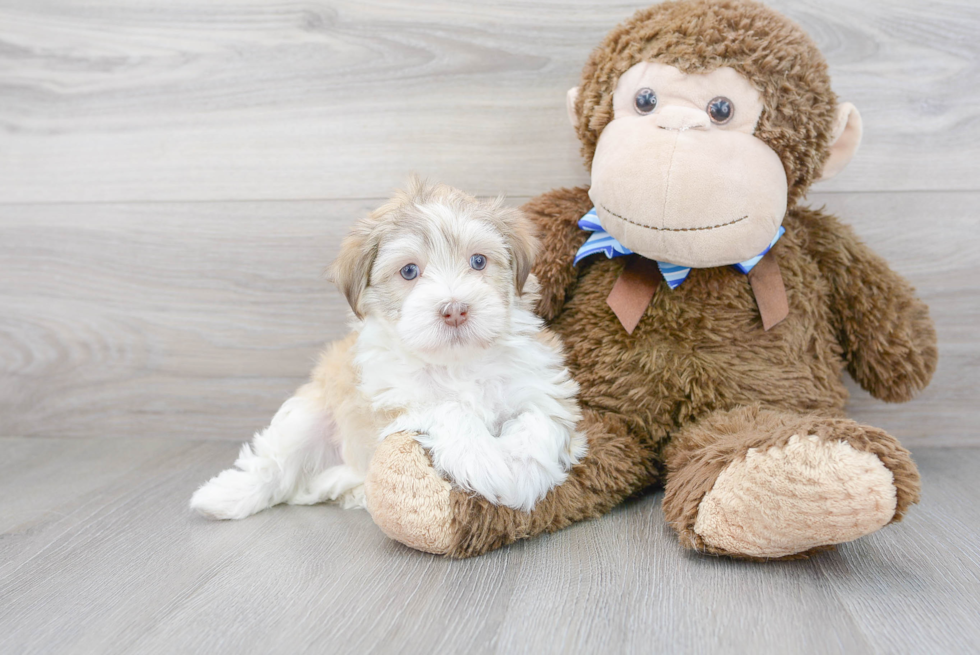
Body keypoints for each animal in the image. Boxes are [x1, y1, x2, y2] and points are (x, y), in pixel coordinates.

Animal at [191, 181, 584, 524]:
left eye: (478, 261)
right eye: (409, 271)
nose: (455, 309)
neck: (457, 363)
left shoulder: (540, 383)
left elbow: (541, 419)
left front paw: (524, 472)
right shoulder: (394, 398)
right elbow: (448, 407)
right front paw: (485, 460)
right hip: (311, 413)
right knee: (274, 463)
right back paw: (226, 497)